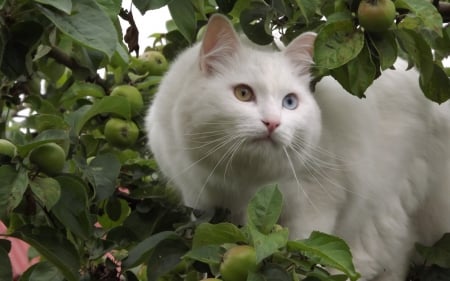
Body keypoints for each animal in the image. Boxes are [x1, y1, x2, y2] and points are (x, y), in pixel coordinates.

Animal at [145, 13, 450, 280]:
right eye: (243, 94)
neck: (242, 180)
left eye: (289, 102)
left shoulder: (318, 200)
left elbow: (306, 248)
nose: (272, 123)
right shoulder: (201, 203)